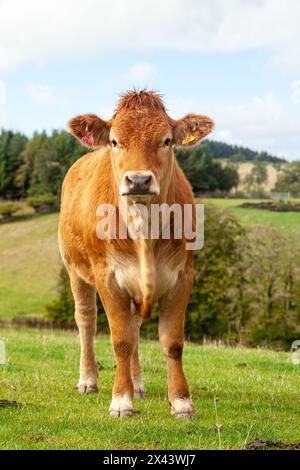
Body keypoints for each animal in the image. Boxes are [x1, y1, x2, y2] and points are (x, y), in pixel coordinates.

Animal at [59, 91, 213, 418]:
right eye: (115, 141)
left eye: (167, 141)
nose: (139, 180)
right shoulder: (107, 276)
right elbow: (120, 340)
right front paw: (121, 401)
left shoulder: (183, 275)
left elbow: (172, 342)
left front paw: (181, 402)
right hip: (73, 267)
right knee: (86, 319)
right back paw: (88, 380)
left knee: (135, 327)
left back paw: (138, 385)